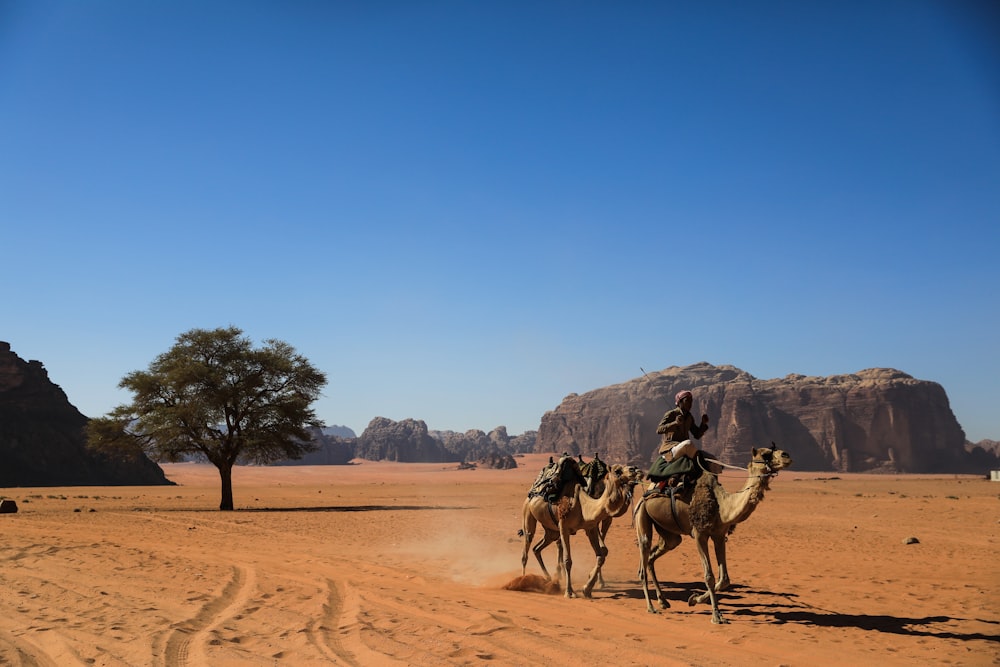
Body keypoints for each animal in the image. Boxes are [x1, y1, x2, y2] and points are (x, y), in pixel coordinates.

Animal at [524, 464, 640, 600]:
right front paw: (569, 592)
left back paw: (549, 579)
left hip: (551, 531)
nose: (635, 469)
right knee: (527, 546)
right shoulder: (564, 527)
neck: (584, 506)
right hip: (528, 514)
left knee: (537, 548)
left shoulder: (590, 528)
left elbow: (601, 555)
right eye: (617, 471)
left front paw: (587, 589)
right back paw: (523, 579)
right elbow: (568, 560)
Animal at [636, 446, 792, 624]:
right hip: (643, 514)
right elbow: (709, 576)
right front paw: (716, 615)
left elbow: (724, 579)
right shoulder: (699, 534)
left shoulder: (719, 535)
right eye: (765, 454)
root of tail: (646, 492)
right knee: (644, 553)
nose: (786, 455)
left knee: (654, 554)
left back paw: (663, 601)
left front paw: (694, 599)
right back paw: (651, 607)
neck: (722, 505)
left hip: (668, 533)